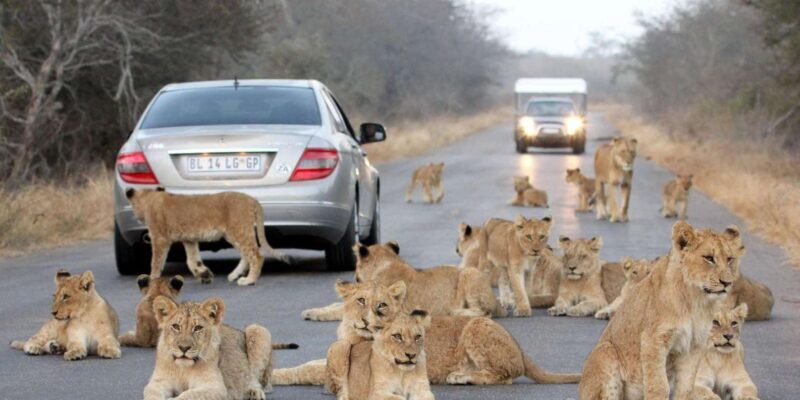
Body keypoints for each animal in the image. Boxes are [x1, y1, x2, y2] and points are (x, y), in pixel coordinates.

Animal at [126, 188, 288, 286]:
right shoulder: (189, 239)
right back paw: (234, 275)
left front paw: (151, 279)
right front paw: (204, 274)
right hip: (233, 234)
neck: (149, 197)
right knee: (246, 255)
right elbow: (192, 260)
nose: (135, 216)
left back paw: (249, 280)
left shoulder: (159, 238)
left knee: (256, 255)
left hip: (239, 230)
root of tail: (252, 199)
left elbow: (156, 261)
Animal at [143, 296, 276, 400]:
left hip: (257, 329)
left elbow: (188, 395)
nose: (184, 348)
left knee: (259, 381)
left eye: (198, 328)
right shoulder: (158, 382)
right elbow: (151, 394)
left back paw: (254, 392)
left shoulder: (216, 388)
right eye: (176, 326)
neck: (183, 369)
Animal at [579, 221, 744, 400]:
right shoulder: (654, 339)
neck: (696, 300)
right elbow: (658, 385)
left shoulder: (694, 345)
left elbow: (686, 386)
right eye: (709, 258)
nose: (727, 283)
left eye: (730, 259)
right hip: (605, 350)